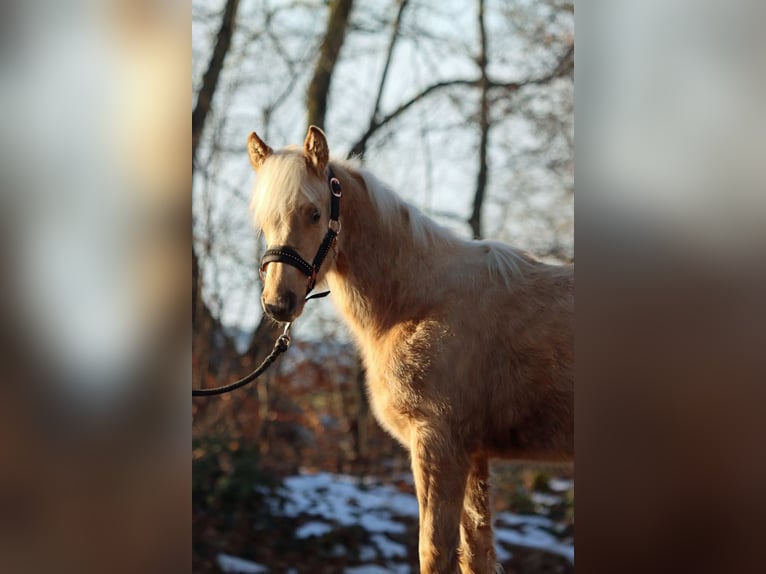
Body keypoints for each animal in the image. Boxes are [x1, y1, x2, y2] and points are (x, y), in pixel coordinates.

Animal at [249, 127, 572, 574]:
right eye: (263, 221)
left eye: (313, 213)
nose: (278, 303)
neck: (418, 303)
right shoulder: (472, 455)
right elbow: (476, 555)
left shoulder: (438, 445)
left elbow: (434, 552)